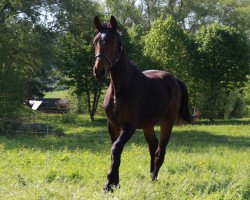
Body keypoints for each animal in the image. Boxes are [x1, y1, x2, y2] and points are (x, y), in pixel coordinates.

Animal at [92, 16, 199, 192]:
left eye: (113, 42)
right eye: (95, 41)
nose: (99, 71)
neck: (121, 89)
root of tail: (175, 80)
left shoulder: (129, 126)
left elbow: (116, 148)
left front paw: (109, 183)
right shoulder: (112, 125)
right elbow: (114, 150)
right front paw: (115, 182)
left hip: (167, 122)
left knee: (160, 150)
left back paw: (154, 179)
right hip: (148, 125)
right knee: (153, 147)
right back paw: (151, 175)